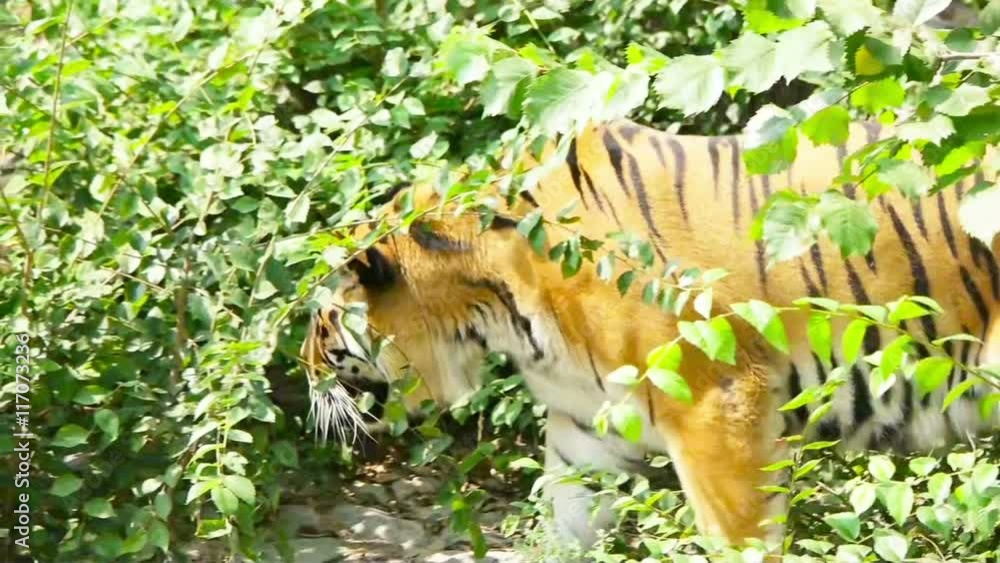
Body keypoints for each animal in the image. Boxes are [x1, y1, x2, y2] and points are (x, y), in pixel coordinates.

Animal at [300, 118, 1000, 553]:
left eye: (318, 321)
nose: (304, 375)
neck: (498, 307)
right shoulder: (584, 424)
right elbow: (566, 523)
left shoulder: (716, 404)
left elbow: (735, 536)